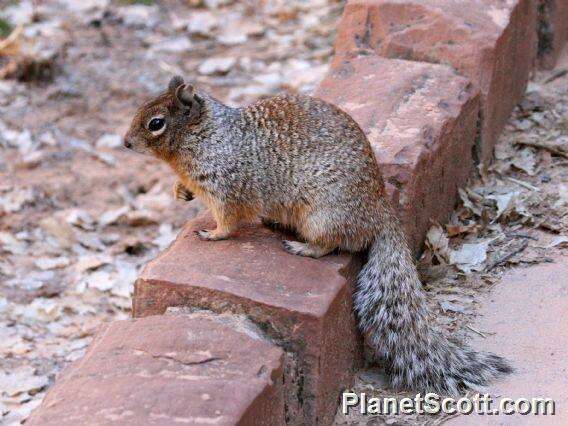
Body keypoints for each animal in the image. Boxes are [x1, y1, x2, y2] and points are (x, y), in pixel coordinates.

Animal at [125, 75, 516, 392]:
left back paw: (303, 248)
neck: (204, 135)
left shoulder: (227, 188)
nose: (126, 143)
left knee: (334, 245)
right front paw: (180, 193)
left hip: (322, 216)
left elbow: (229, 220)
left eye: (156, 123)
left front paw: (212, 235)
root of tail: (380, 213)